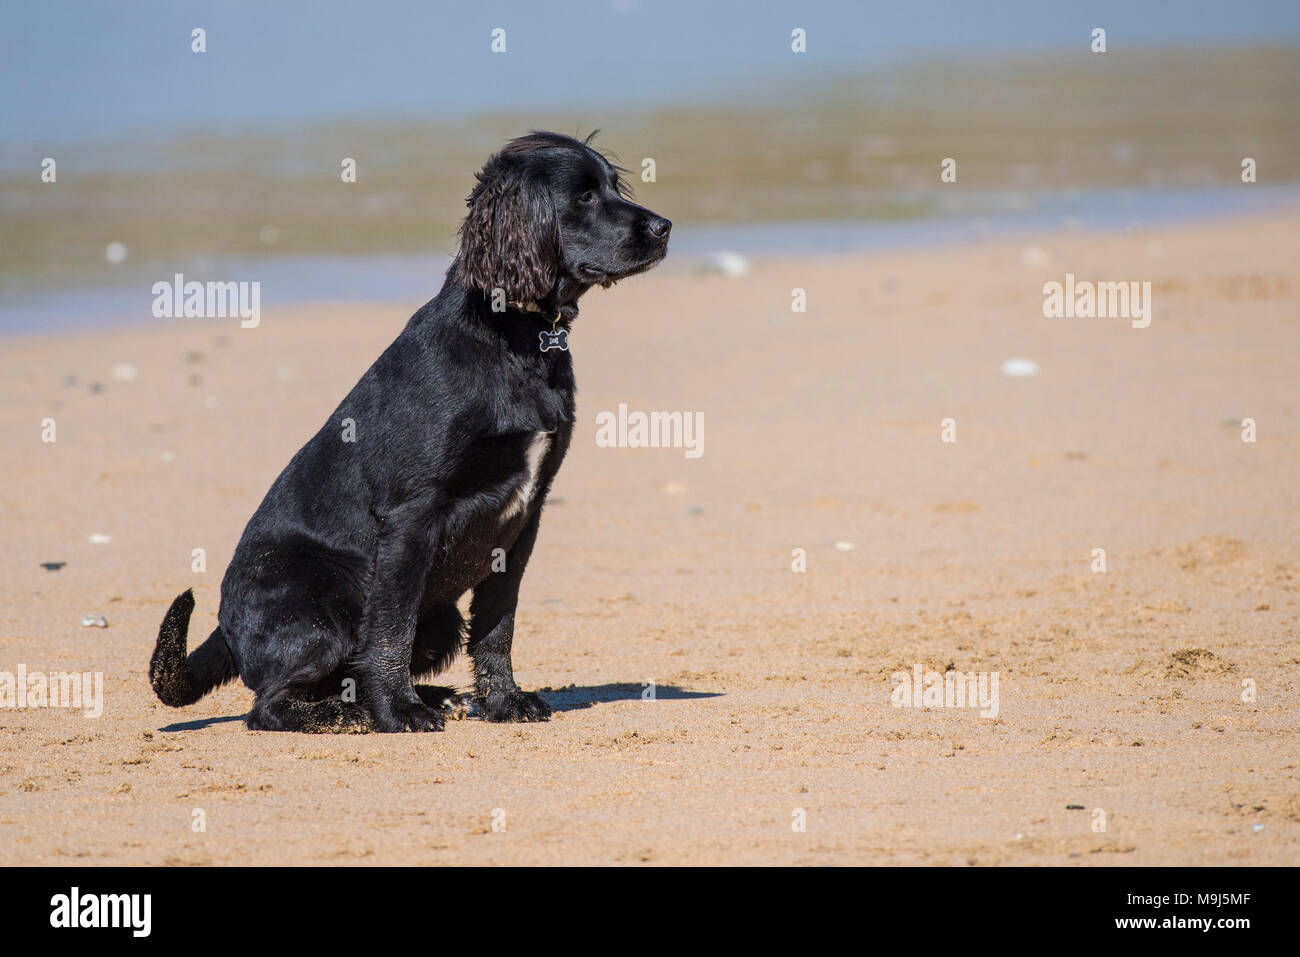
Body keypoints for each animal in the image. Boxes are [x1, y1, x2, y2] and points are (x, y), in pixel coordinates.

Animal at [149, 132, 670, 733]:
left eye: (612, 185)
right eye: (583, 196)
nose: (664, 227)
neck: (512, 335)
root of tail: (226, 629)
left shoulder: (525, 516)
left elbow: (498, 623)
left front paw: (502, 701)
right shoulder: (411, 516)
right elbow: (391, 628)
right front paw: (399, 711)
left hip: (440, 621)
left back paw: (431, 697)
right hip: (321, 612)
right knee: (269, 706)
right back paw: (356, 714)